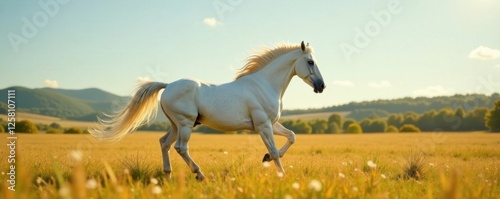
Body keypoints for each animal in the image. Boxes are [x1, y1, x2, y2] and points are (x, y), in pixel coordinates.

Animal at [89, 41, 324, 181]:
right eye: (310, 61)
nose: (321, 86)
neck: (264, 84)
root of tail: (168, 85)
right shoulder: (263, 125)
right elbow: (275, 150)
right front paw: (281, 173)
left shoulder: (272, 123)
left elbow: (291, 136)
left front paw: (265, 159)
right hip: (185, 124)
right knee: (180, 147)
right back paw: (199, 174)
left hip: (176, 124)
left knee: (164, 143)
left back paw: (168, 175)